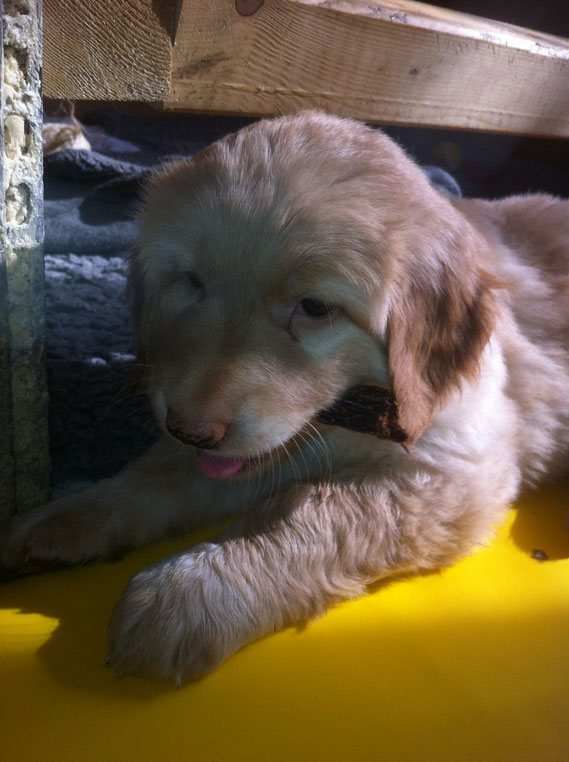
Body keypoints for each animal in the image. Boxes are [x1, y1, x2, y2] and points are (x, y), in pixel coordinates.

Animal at [1, 110, 568, 680]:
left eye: (314, 308)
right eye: (192, 281)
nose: (191, 428)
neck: (350, 414)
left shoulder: (455, 468)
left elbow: (314, 511)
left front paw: (189, 590)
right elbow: (160, 473)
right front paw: (65, 518)